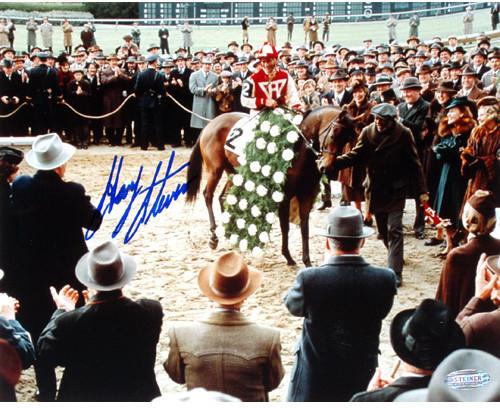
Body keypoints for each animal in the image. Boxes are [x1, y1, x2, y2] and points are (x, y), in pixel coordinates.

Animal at [185, 105, 356, 266]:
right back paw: (214, 236)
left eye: (347, 140)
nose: (326, 167)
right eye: (333, 135)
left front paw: (307, 261)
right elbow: (285, 227)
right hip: (215, 170)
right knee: (208, 195)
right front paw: (288, 256)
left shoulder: (305, 195)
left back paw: (229, 232)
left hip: (233, 172)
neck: (299, 150)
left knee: (223, 197)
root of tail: (211, 123)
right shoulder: (284, 197)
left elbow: (304, 227)